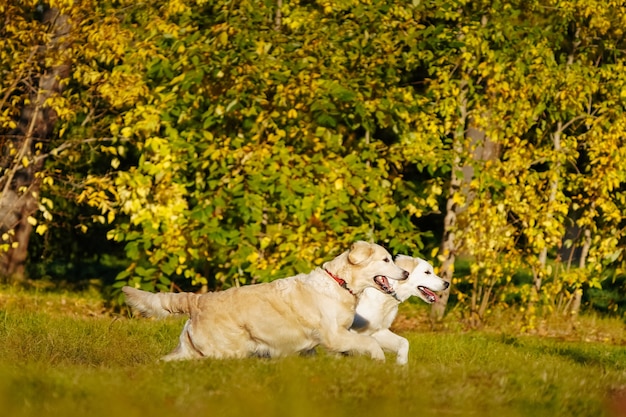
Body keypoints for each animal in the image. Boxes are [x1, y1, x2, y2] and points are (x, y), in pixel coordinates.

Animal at [122, 240, 408, 360]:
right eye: (386, 260)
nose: (405, 273)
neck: (340, 283)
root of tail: (197, 301)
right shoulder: (334, 335)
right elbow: (369, 344)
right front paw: (379, 360)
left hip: (190, 349)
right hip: (226, 350)